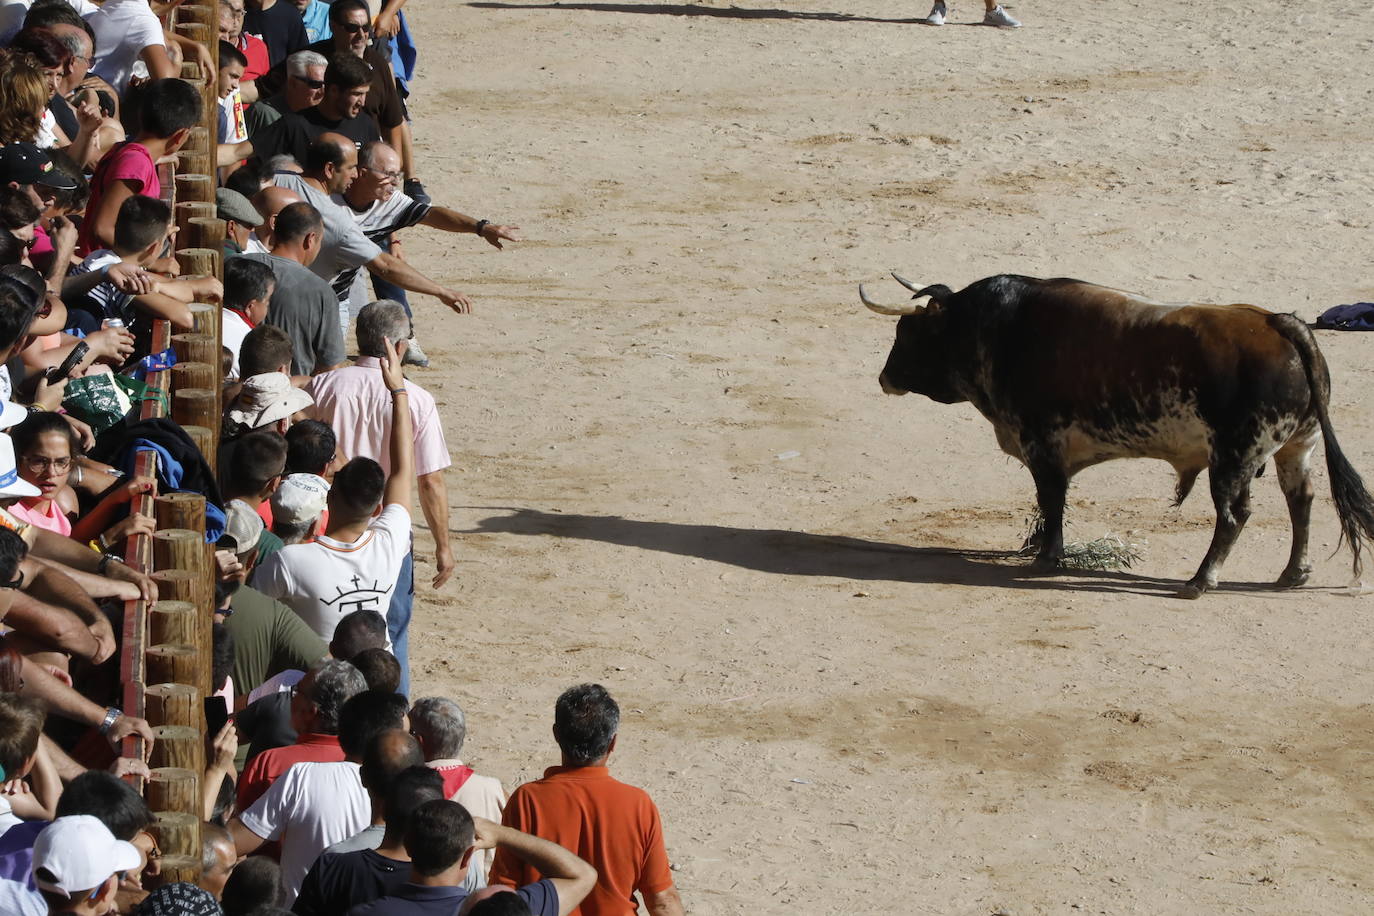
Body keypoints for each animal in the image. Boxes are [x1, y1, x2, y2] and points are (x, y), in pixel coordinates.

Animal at [862, 270, 1374, 601]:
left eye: (908, 331)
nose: (884, 378)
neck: (991, 328)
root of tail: (1279, 322)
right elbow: (1051, 503)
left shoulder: (1041, 442)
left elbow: (1051, 500)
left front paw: (1046, 558)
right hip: (1297, 447)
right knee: (1301, 499)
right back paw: (1292, 574)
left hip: (1234, 457)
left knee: (1233, 516)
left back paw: (1199, 582)